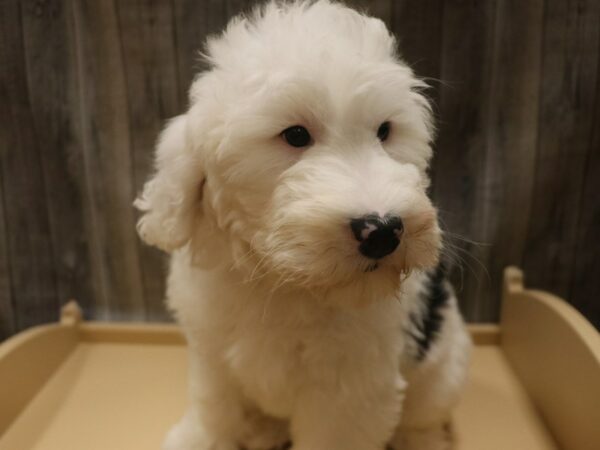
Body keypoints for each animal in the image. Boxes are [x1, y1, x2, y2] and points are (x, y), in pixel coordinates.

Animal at [135, 0, 468, 450]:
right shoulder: (211, 353)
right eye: (294, 135)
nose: (383, 231)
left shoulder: (348, 395)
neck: (285, 278)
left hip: (443, 367)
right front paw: (199, 438)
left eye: (385, 131)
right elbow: (214, 409)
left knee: (423, 417)